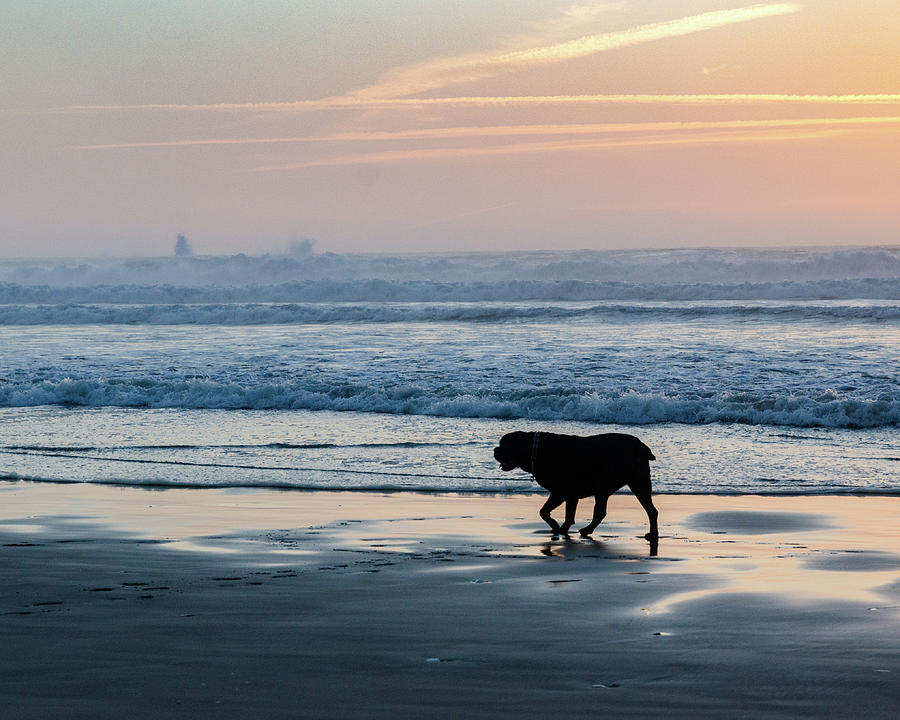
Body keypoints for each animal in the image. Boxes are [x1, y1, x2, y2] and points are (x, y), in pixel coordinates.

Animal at [496, 430, 656, 536]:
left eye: (504, 445)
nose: (495, 449)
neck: (535, 450)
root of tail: (641, 446)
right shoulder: (569, 495)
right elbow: (568, 514)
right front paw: (562, 529)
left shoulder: (559, 492)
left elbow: (544, 511)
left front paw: (556, 526)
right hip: (629, 484)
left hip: (628, 484)